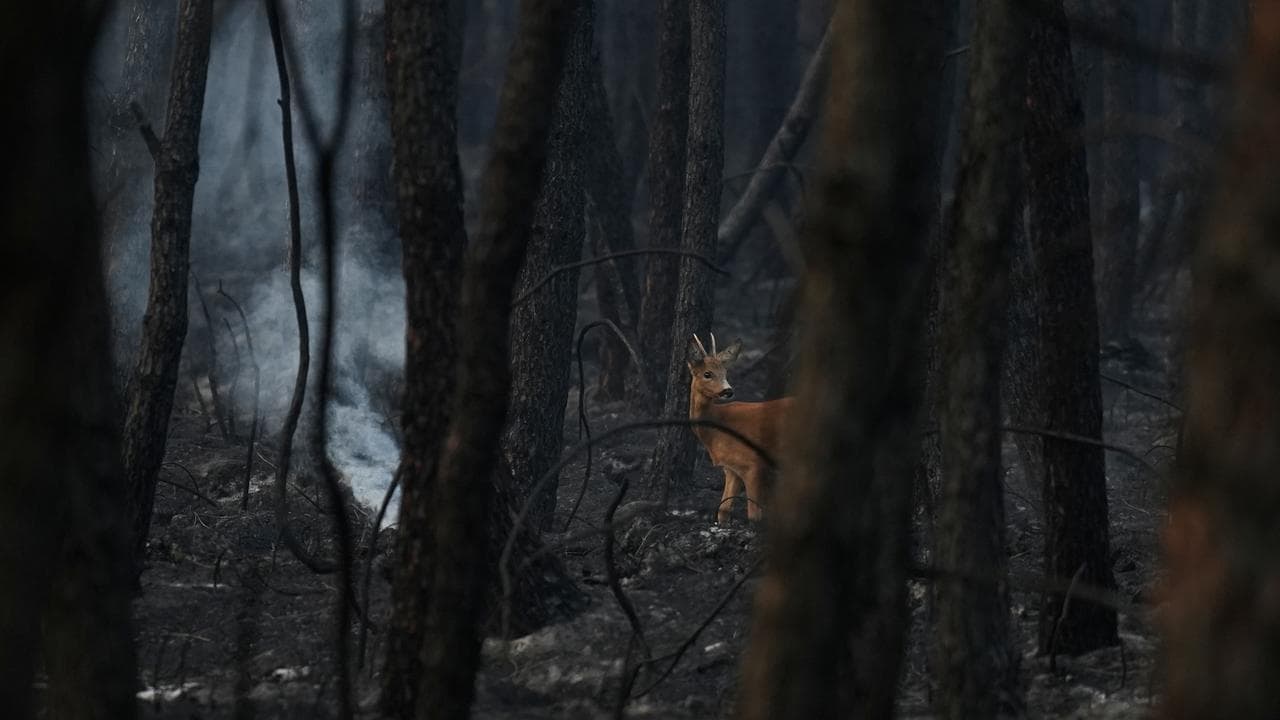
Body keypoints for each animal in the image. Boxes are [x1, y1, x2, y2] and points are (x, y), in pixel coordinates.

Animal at [685, 333, 793, 524]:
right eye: (707, 373)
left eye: (725, 372)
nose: (728, 391)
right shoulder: (731, 469)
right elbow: (723, 511)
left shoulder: (753, 463)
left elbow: (754, 515)